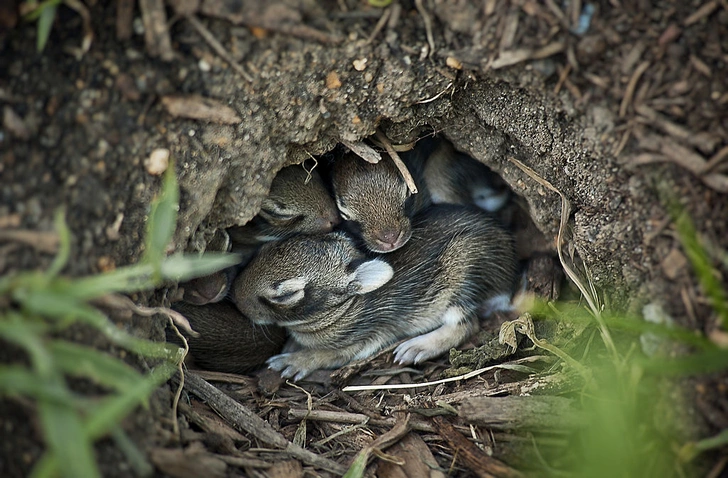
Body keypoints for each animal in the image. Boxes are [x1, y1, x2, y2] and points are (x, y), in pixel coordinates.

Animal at [233, 204, 516, 380]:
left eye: (283, 296)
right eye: (263, 251)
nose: (236, 300)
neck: (342, 307)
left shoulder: (361, 340)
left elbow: (324, 354)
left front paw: (290, 363)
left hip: (463, 274)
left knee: (466, 325)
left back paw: (415, 348)